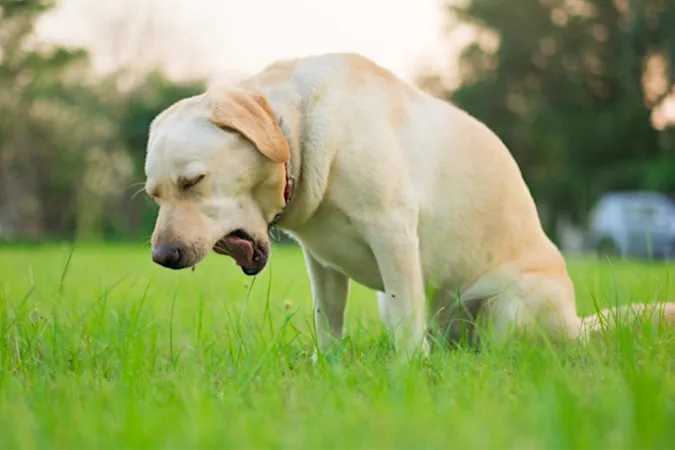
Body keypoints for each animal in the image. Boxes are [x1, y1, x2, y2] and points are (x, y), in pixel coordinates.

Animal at [144, 51, 675, 358]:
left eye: (193, 181)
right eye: (155, 194)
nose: (162, 257)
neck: (295, 129)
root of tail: (577, 327)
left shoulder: (392, 233)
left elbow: (404, 323)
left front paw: (404, 375)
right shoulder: (322, 263)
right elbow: (327, 321)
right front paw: (328, 369)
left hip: (510, 308)